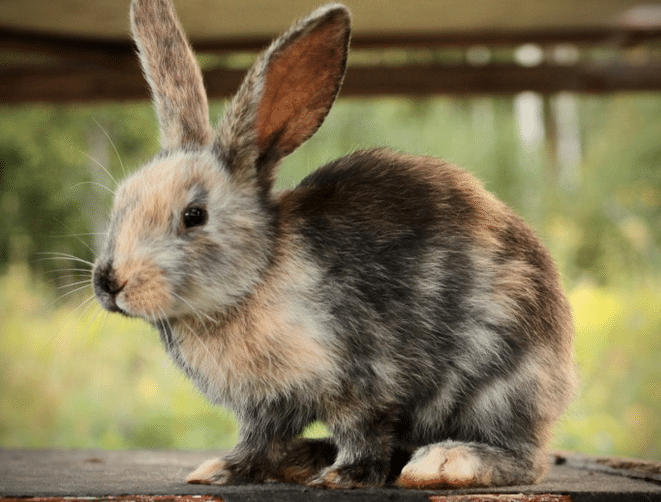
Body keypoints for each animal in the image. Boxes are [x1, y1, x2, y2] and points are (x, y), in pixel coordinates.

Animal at [92, 0, 576, 490]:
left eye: (194, 216)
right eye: (121, 201)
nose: (109, 282)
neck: (254, 280)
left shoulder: (361, 380)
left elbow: (362, 432)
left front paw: (342, 477)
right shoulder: (265, 407)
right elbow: (257, 442)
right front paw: (221, 471)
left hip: (499, 385)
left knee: (523, 457)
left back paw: (442, 463)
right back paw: (304, 458)